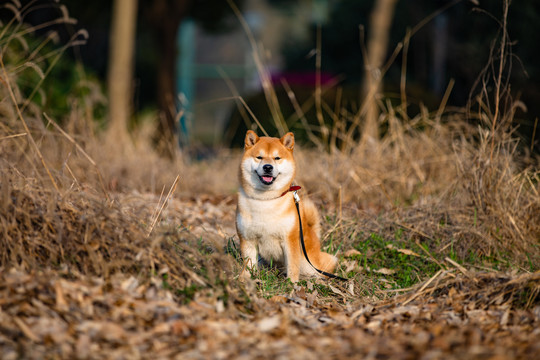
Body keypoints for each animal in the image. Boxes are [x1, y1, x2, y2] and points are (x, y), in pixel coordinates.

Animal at [236, 131, 338, 282]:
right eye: (259, 157)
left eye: (277, 158)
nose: (268, 167)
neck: (266, 200)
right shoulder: (247, 239)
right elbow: (248, 264)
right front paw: (245, 279)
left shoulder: (290, 240)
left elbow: (292, 265)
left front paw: (292, 283)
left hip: (310, 264)